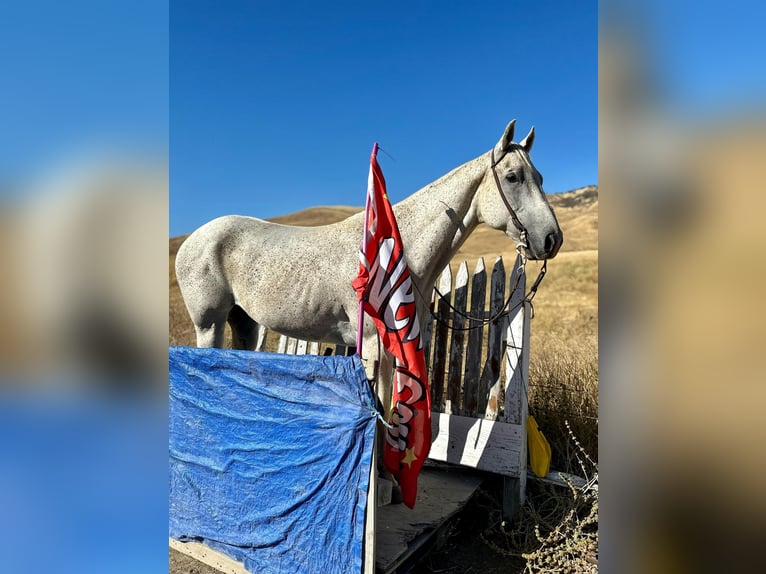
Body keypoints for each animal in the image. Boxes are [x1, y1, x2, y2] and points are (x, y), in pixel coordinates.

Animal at [176, 119, 564, 414]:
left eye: (541, 177)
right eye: (513, 177)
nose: (551, 239)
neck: (395, 252)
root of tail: (192, 240)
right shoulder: (374, 346)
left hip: (246, 324)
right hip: (209, 324)